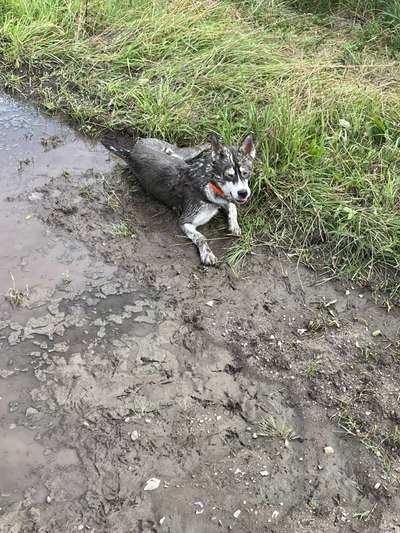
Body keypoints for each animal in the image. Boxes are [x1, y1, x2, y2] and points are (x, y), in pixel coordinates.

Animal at [103, 134, 256, 264]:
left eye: (246, 173)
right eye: (228, 175)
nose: (243, 193)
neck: (209, 183)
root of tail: (131, 153)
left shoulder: (224, 199)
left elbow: (232, 207)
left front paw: (234, 225)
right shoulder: (185, 221)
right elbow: (201, 237)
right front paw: (207, 254)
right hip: (181, 153)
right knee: (194, 148)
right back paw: (208, 144)